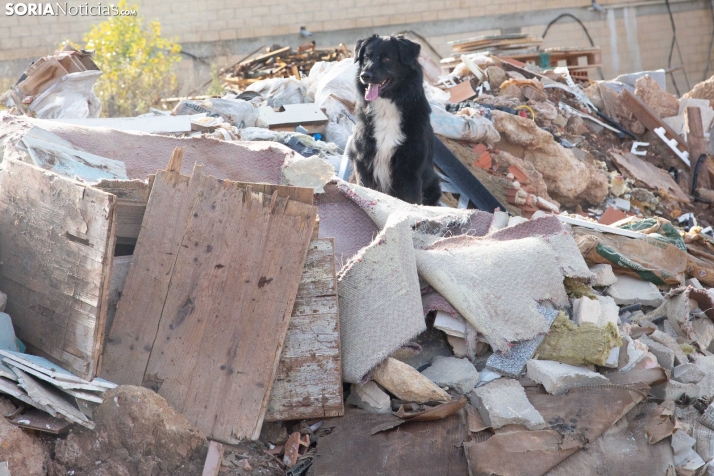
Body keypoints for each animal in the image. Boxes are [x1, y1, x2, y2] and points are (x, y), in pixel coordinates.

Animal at [346, 33, 440, 205]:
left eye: (387, 59)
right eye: (366, 57)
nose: (365, 76)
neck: (387, 108)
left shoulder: (410, 170)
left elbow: (412, 201)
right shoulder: (362, 162)